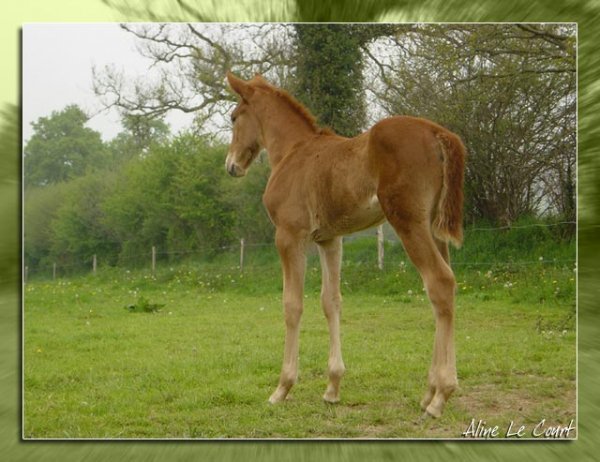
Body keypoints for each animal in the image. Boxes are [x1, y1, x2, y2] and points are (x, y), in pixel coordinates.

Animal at [225, 71, 464, 418]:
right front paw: (332, 387)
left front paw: (282, 388)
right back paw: (430, 391)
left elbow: (292, 305)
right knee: (445, 289)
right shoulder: (329, 239)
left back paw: (439, 397)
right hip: (433, 229)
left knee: (439, 282)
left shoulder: (289, 236)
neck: (294, 152)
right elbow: (331, 301)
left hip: (409, 223)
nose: (231, 166)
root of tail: (438, 133)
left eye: (233, 117)